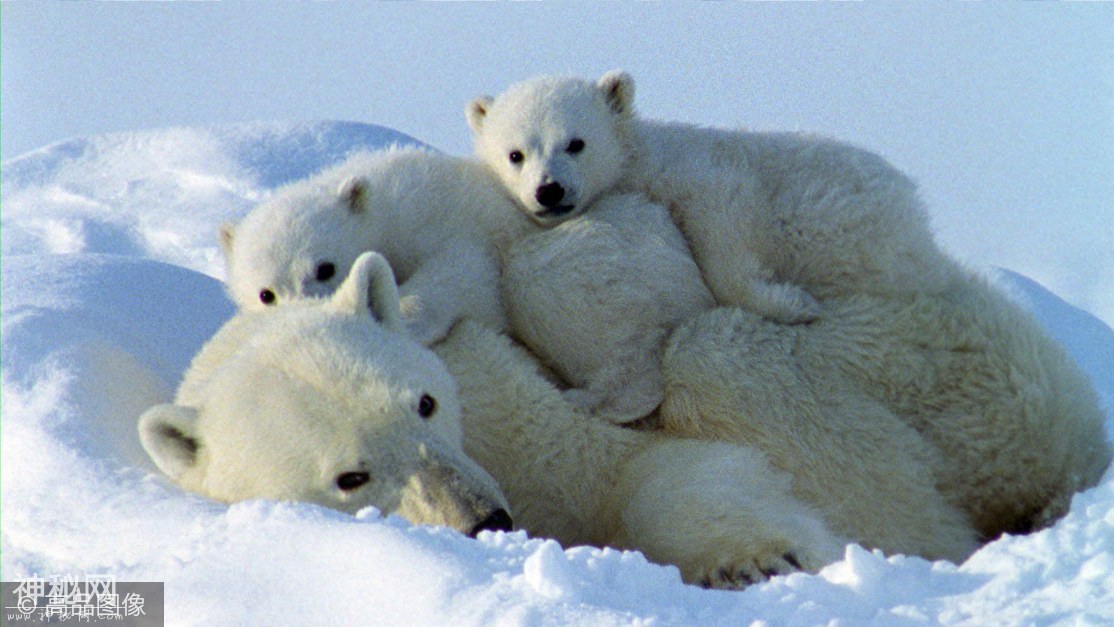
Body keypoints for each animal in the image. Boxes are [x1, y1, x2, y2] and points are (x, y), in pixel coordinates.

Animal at [221, 147, 712, 420]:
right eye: (266, 294)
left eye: (325, 267)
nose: (309, 314)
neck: (380, 204)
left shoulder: (438, 217)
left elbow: (462, 272)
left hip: (619, 255)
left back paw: (593, 397)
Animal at [465, 70, 953, 322]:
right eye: (515, 154)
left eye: (576, 142)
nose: (549, 190)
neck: (639, 162)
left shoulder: (701, 175)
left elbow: (724, 224)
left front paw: (790, 303)